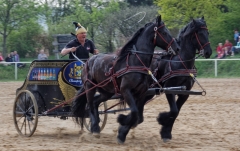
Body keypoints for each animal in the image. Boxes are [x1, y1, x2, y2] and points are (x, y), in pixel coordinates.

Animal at [71, 15, 180, 144]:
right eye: (164, 32)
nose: (177, 48)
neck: (136, 62)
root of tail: (89, 61)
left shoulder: (141, 93)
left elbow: (136, 114)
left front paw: (122, 131)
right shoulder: (125, 90)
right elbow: (134, 112)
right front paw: (122, 124)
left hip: (107, 91)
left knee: (95, 102)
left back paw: (95, 126)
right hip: (90, 87)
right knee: (90, 105)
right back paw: (95, 128)